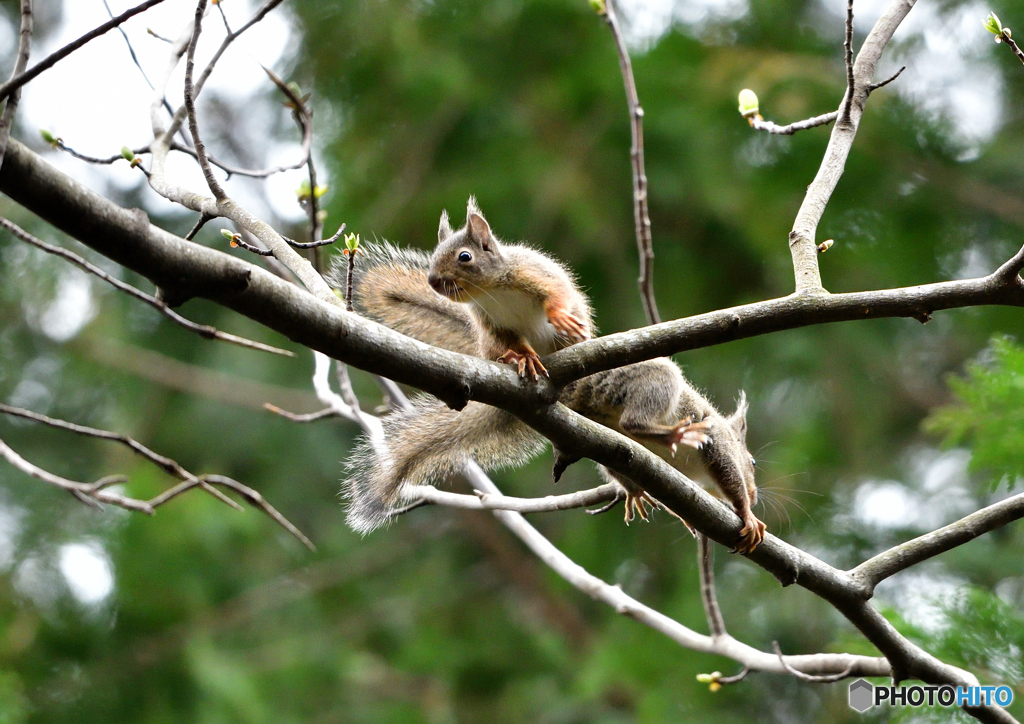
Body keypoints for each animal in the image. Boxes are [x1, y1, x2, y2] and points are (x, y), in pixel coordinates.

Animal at [327, 198, 770, 557]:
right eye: (751, 460)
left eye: (465, 256)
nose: (757, 492)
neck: (493, 290)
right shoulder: (718, 443)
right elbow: (728, 476)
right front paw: (747, 513)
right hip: (651, 382)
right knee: (634, 420)